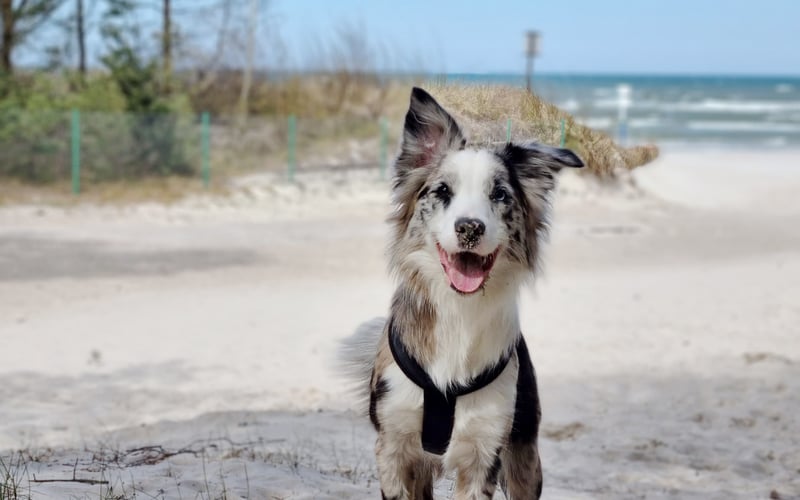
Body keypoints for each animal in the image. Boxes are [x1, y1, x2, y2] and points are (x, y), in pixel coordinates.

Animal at [336, 88, 580, 498]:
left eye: (500, 195)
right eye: (443, 191)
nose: (469, 227)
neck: (458, 310)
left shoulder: (485, 450)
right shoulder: (393, 449)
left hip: (525, 457)